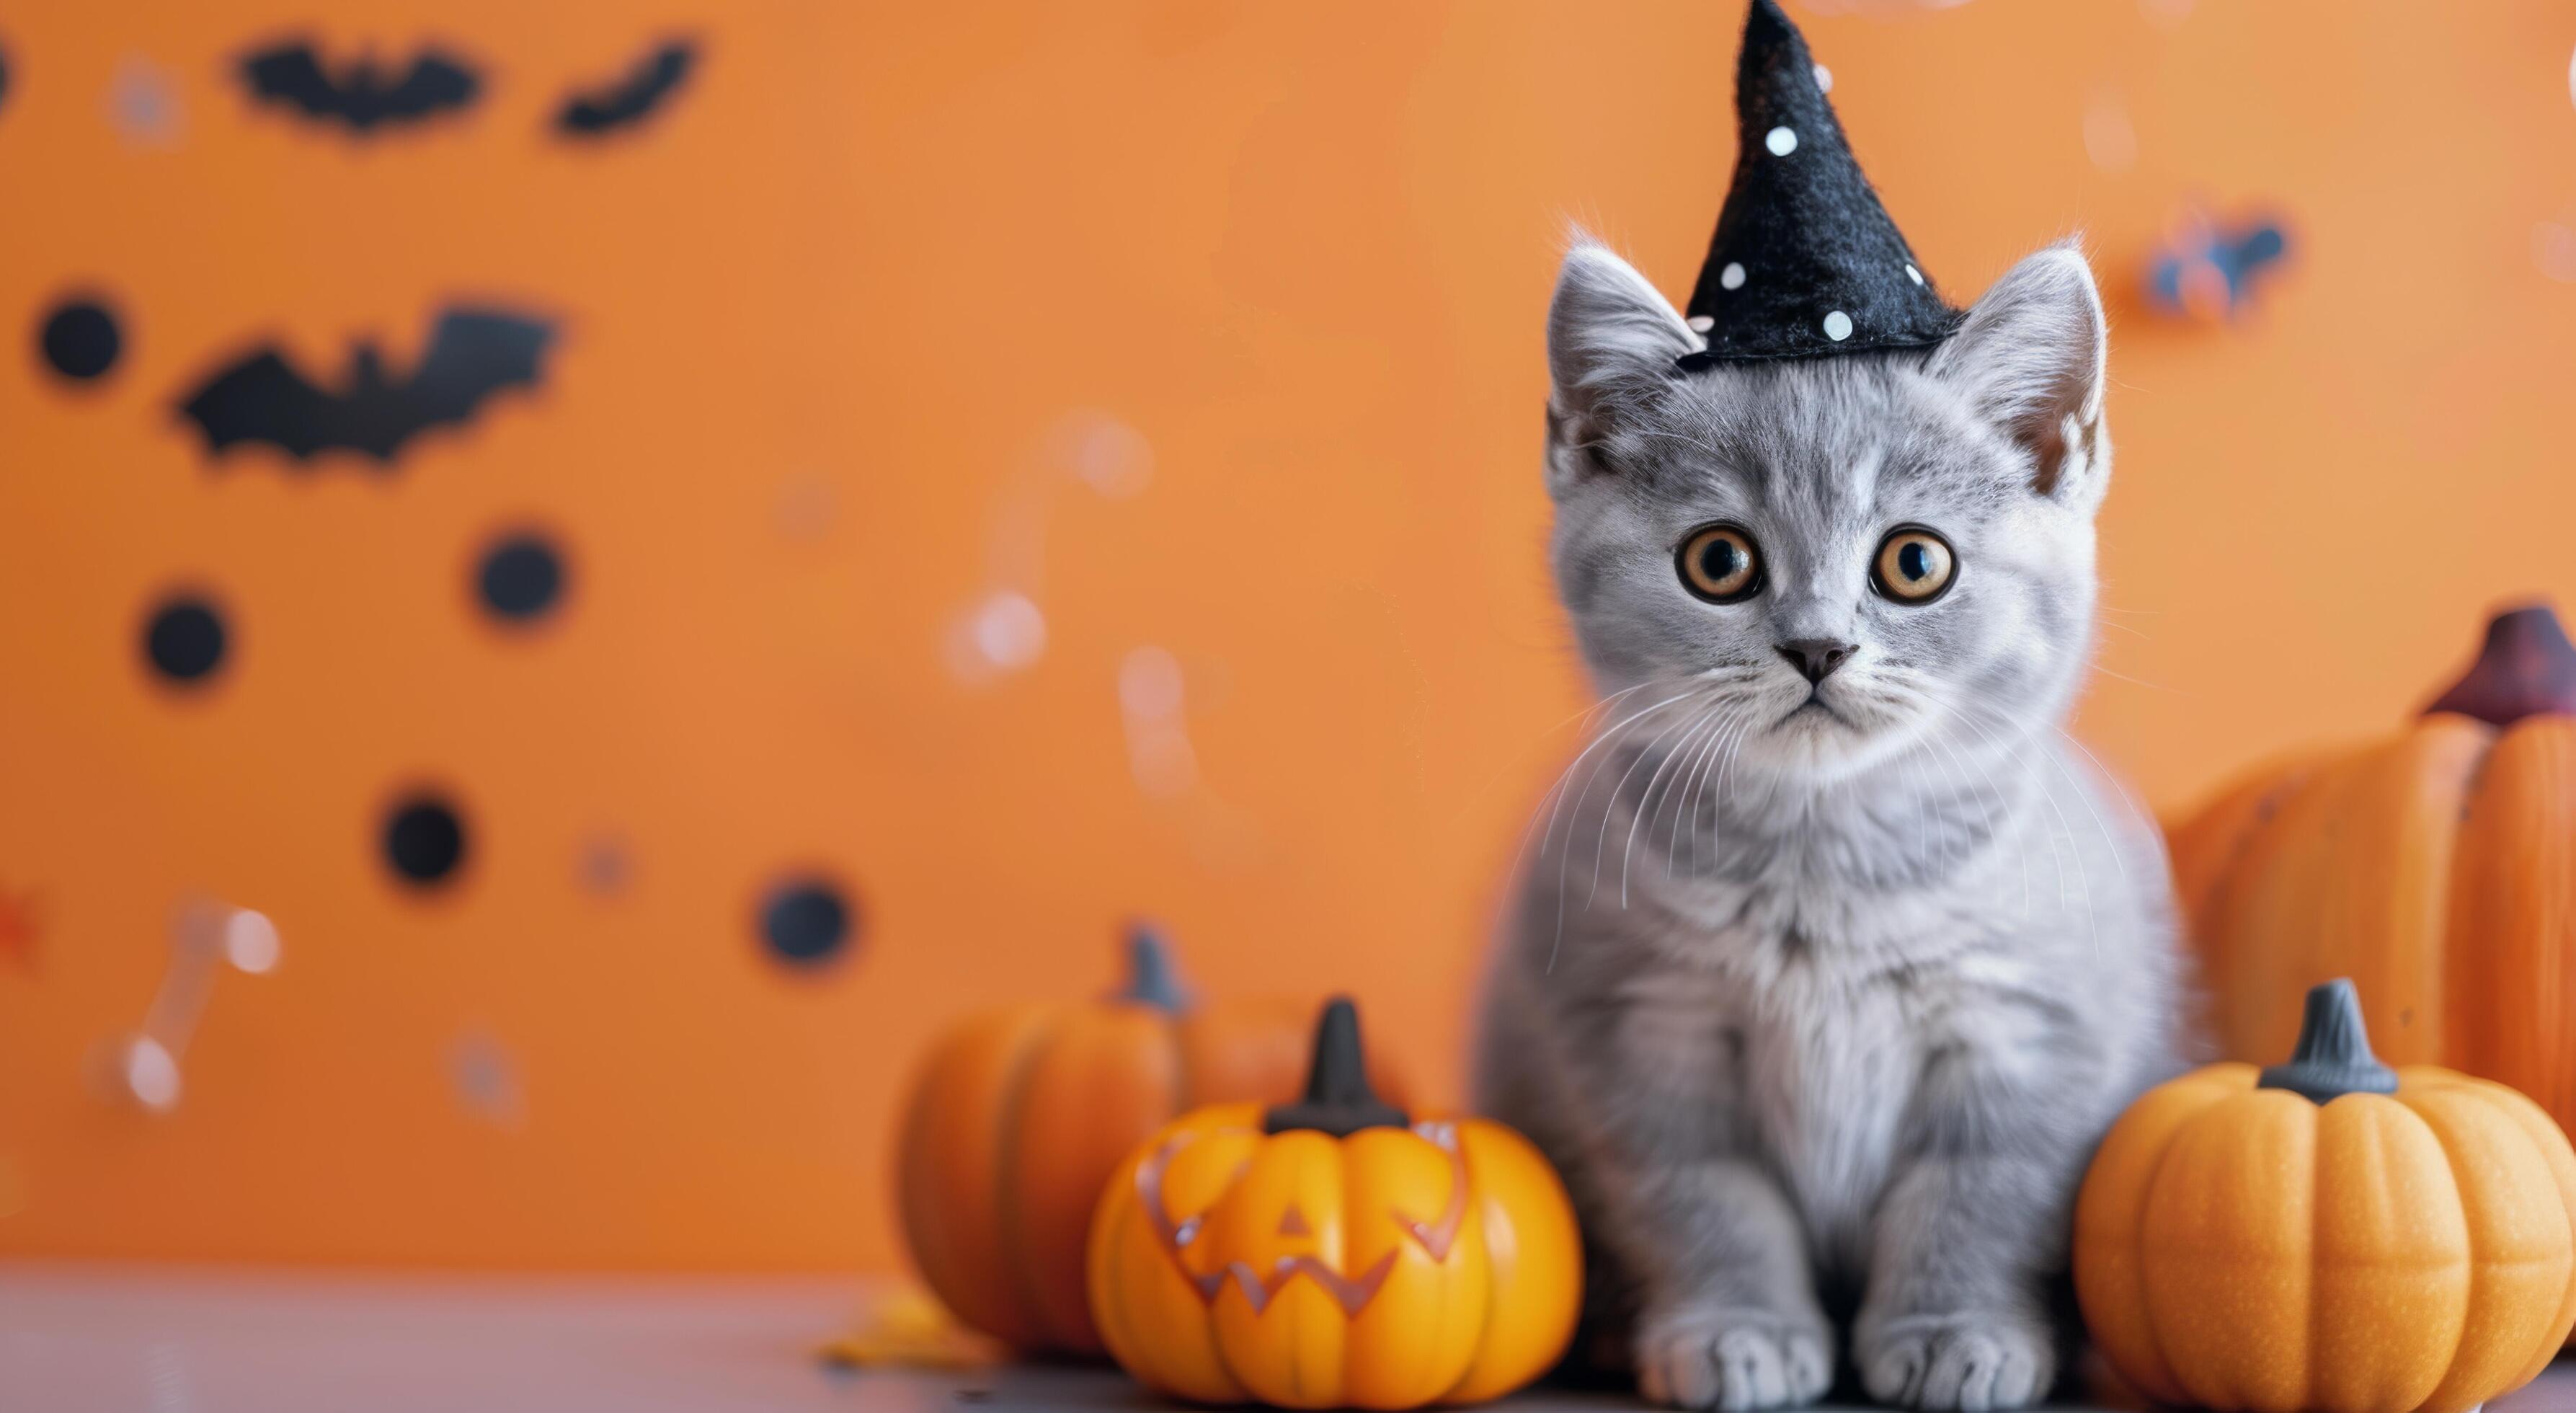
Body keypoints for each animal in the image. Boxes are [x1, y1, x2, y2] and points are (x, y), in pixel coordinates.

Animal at [1483, 242, 2184, 1413]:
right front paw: (1739, 1330)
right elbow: (1707, 1200)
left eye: (1914, 562)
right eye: (1718, 561)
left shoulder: (2028, 1035)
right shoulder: (1640, 1034)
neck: (1826, 867)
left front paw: (1953, 1334)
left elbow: (1973, 1198)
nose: (1817, 648)